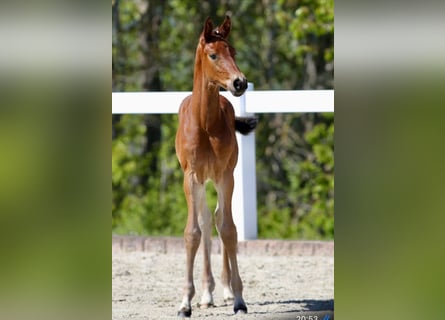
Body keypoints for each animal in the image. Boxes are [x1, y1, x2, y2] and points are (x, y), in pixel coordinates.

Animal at [174, 16, 256, 316]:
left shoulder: (224, 176)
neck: (205, 124)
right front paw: (185, 303)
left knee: (220, 219)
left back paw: (225, 290)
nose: (239, 82)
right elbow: (192, 232)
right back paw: (207, 294)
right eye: (213, 55)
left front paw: (239, 299)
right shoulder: (191, 177)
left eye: (233, 51)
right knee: (207, 221)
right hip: (201, 182)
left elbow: (229, 230)